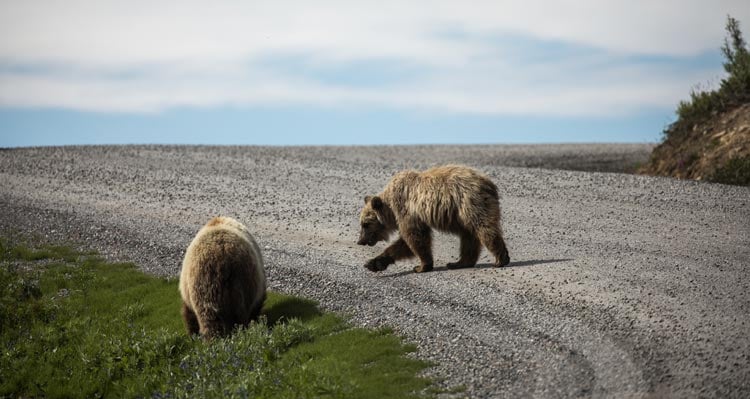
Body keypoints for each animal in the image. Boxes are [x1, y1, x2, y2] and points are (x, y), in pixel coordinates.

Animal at [356, 164, 512, 274]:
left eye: (366, 224)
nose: (360, 241)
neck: (391, 207)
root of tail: (489, 183)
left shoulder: (406, 209)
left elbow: (414, 237)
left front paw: (421, 266)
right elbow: (404, 243)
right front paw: (373, 264)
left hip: (470, 202)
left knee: (484, 227)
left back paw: (500, 259)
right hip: (462, 214)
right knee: (468, 236)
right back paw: (458, 263)